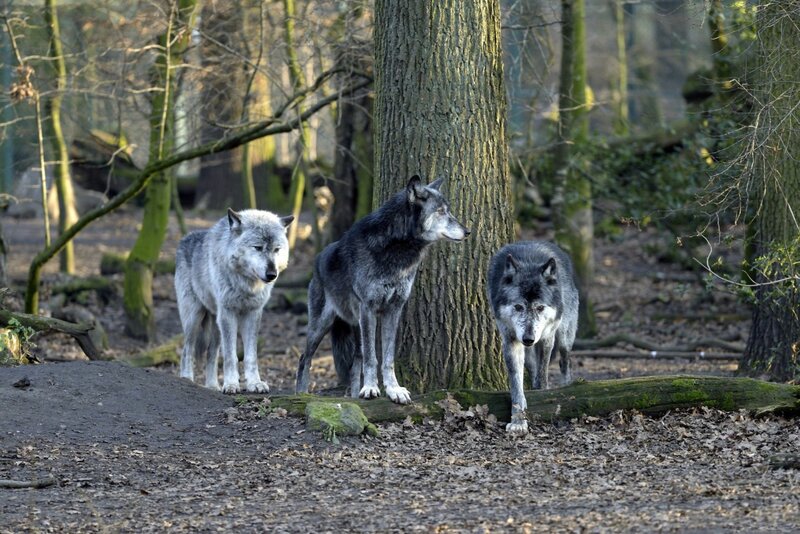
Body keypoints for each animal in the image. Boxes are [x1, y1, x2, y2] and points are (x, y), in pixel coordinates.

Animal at [175, 209, 293, 394]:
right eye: (257, 248)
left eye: (276, 249)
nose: (272, 274)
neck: (247, 285)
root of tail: (185, 238)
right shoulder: (228, 313)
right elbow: (231, 356)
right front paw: (231, 384)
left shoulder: (253, 314)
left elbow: (251, 356)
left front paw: (255, 383)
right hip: (195, 318)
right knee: (187, 350)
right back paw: (187, 379)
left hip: (216, 325)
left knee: (211, 354)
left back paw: (212, 386)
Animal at [295, 175, 470, 404]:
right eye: (440, 211)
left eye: (448, 210)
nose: (468, 231)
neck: (396, 249)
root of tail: (317, 259)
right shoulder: (369, 308)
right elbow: (372, 358)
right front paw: (370, 388)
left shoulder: (394, 310)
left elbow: (387, 358)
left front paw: (394, 389)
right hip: (321, 325)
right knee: (304, 358)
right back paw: (302, 393)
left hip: (355, 326)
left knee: (355, 363)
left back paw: (353, 396)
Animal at [487, 241, 579, 434]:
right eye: (518, 307)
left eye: (540, 308)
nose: (528, 339)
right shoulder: (511, 341)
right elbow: (516, 385)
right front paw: (518, 421)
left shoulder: (546, 338)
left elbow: (543, 374)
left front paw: (544, 398)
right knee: (532, 368)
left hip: (564, 335)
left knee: (564, 361)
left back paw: (567, 385)